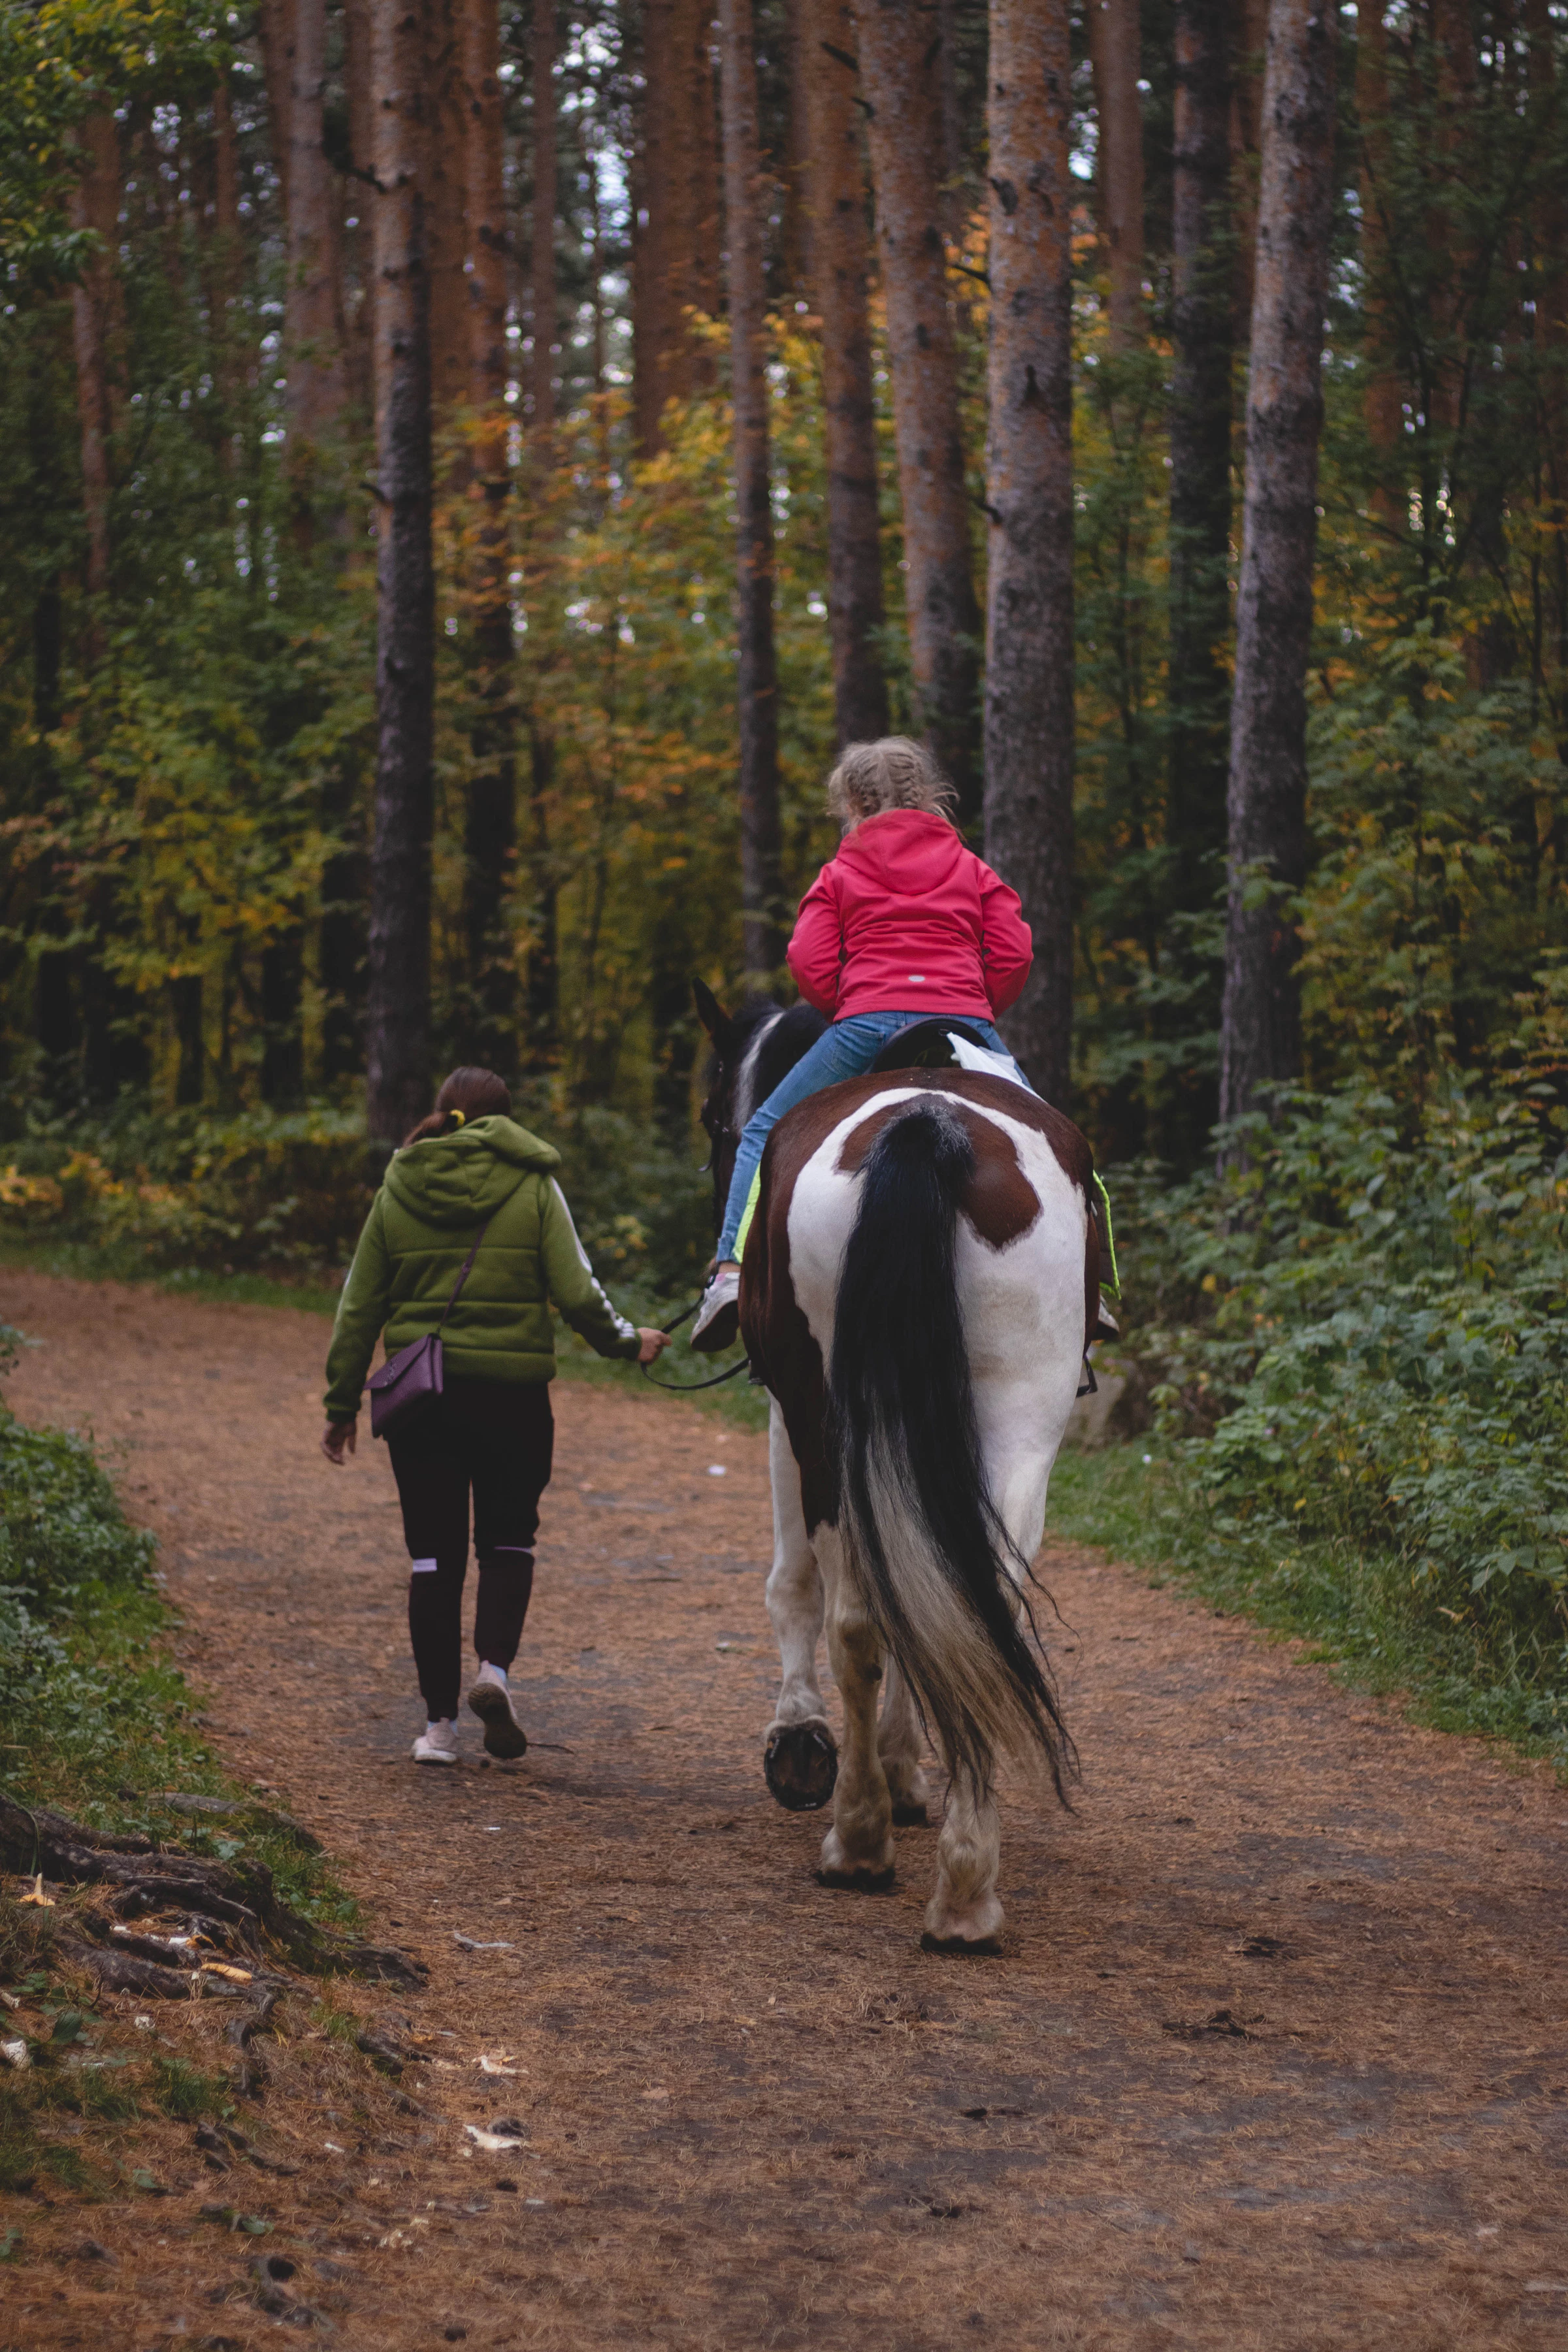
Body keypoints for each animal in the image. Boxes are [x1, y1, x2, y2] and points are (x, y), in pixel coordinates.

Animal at [694, 983, 1109, 1950]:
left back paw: (859, 1840)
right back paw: (966, 1893)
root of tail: (929, 1126)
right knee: (978, 1605)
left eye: (714, 1117)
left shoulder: (785, 1413)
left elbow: (795, 1585)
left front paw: (806, 1744)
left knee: (857, 1617)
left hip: (826, 1420)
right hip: (1020, 1418)